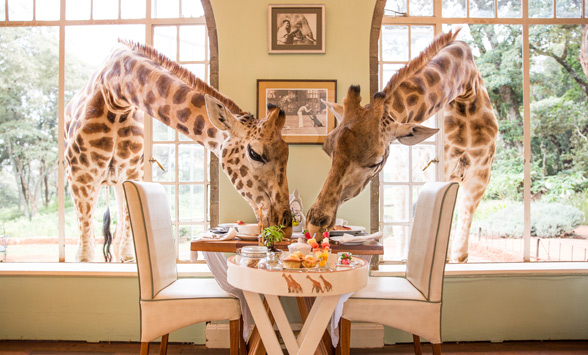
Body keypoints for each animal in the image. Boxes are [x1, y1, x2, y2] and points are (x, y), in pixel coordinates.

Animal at [65, 42, 292, 264]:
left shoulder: (131, 173)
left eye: (287, 154)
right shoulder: (80, 176)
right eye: (255, 153)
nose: (286, 226)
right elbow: (84, 256)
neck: (115, 94)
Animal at [308, 29, 496, 264]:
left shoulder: (480, 173)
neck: (465, 89)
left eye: (376, 161)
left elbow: (460, 252)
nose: (314, 225)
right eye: (327, 149)